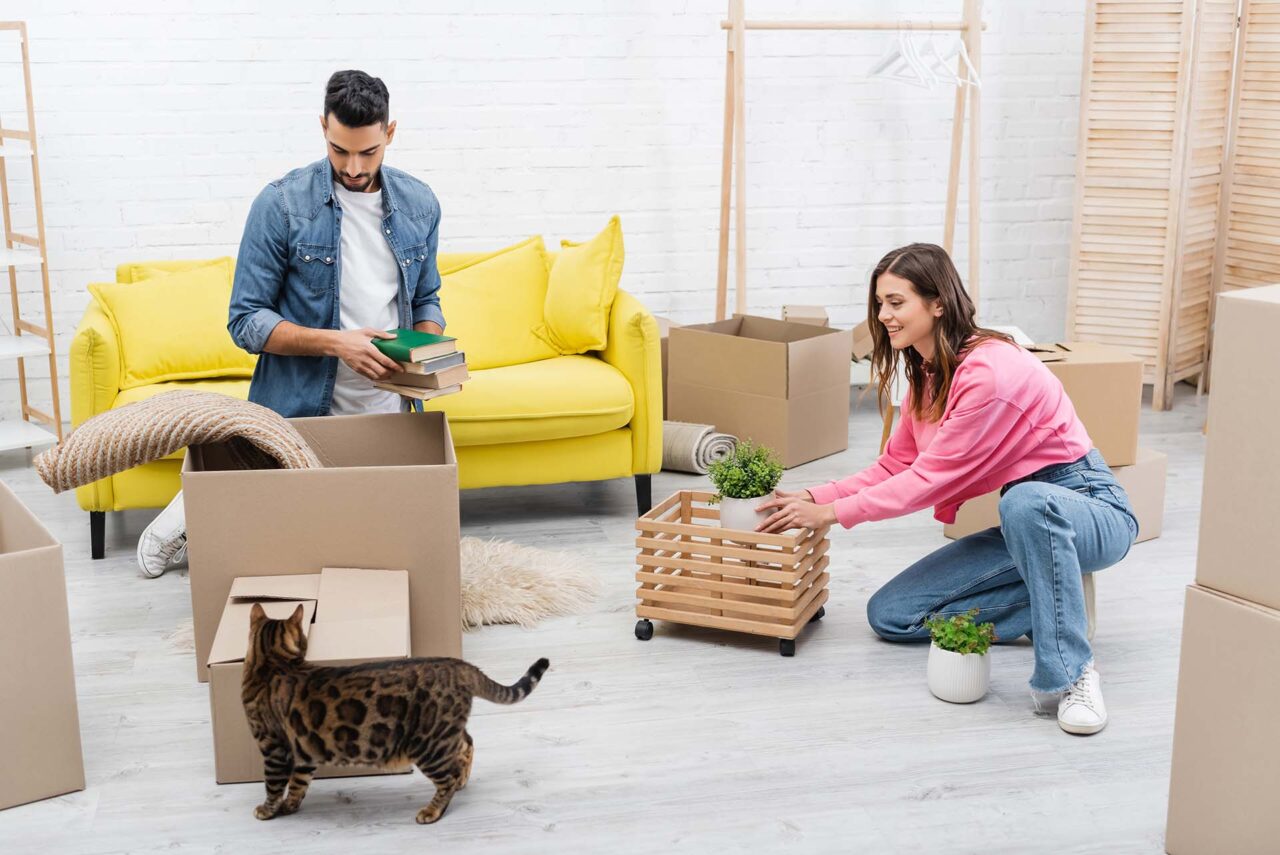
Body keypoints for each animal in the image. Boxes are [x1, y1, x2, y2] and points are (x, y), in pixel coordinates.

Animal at [241, 601, 547, 819]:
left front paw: (267, 810)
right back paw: (462, 779)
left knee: (447, 777)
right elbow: (298, 783)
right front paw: (290, 806)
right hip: (444, 733)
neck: (271, 661)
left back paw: (432, 810)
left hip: (427, 745)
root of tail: (459, 665)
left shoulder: (273, 746)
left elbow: (274, 785)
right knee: (467, 744)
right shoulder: (304, 748)